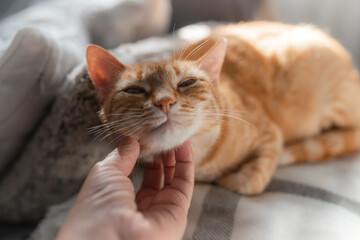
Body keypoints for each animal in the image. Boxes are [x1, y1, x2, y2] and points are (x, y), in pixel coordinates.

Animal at [86, 21, 360, 195]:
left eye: (186, 83)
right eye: (134, 91)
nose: (165, 101)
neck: (201, 163)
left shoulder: (271, 133)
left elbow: (251, 181)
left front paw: (233, 177)